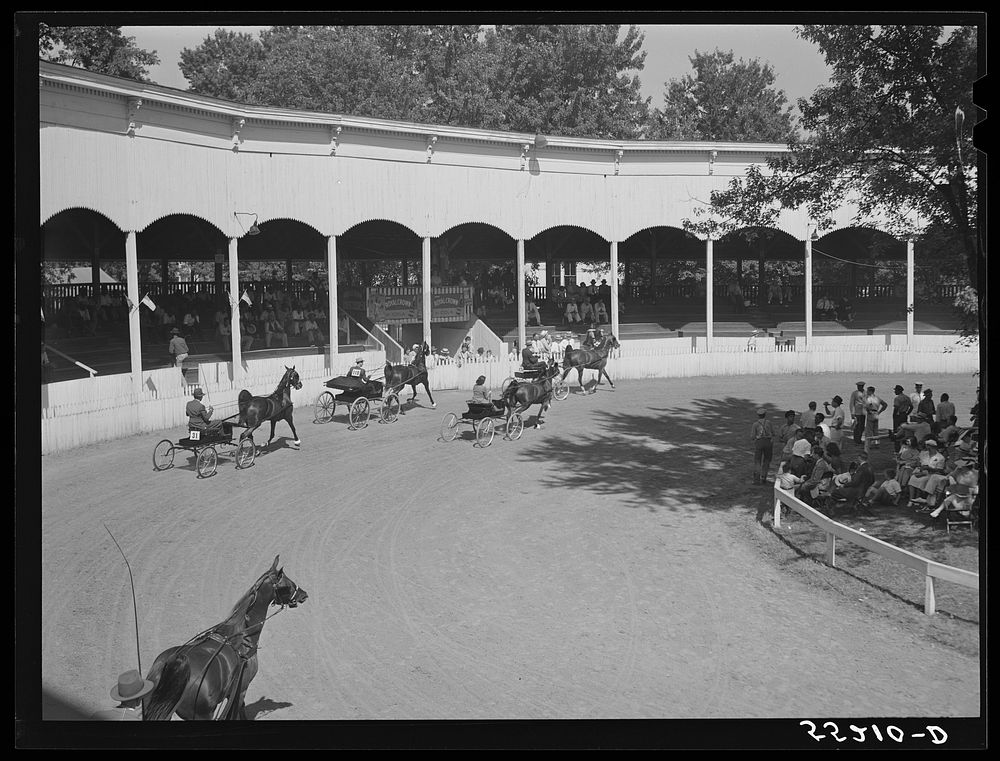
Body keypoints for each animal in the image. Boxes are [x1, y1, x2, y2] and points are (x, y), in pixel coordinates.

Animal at [139, 552, 306, 720]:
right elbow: (238, 712)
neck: (241, 636)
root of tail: (176, 662)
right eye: (288, 584)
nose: (304, 594)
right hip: (202, 714)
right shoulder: (242, 689)